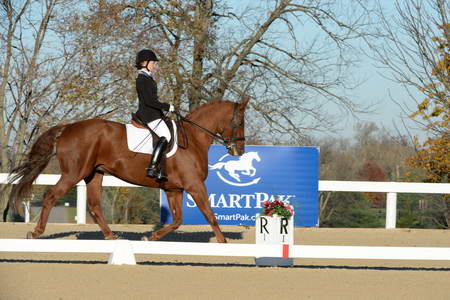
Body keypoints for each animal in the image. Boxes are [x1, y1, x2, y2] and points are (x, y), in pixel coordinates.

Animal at [4, 97, 250, 243]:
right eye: (240, 122)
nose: (239, 150)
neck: (193, 139)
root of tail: (67, 128)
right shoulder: (194, 185)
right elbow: (210, 214)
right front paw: (223, 243)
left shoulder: (174, 189)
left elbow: (178, 219)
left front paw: (151, 238)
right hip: (73, 173)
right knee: (51, 196)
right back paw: (36, 233)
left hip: (94, 174)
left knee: (94, 205)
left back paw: (111, 237)